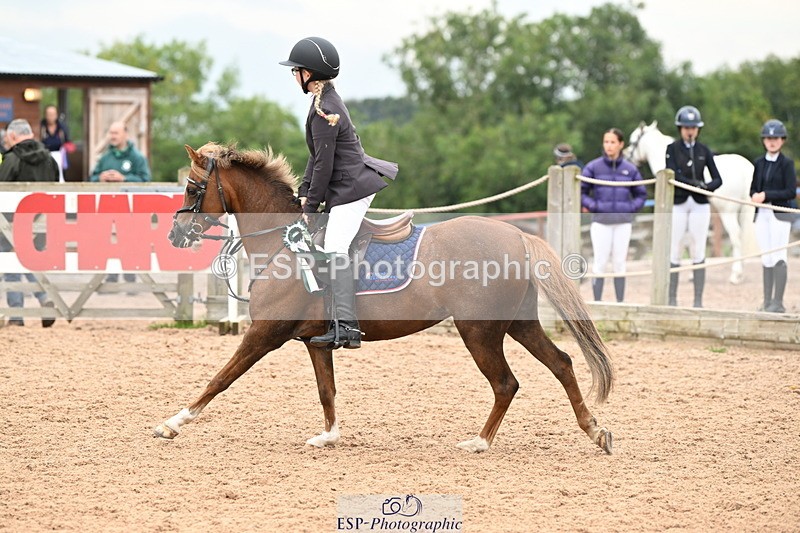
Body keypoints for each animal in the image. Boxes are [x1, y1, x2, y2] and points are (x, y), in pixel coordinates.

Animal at [154, 142, 615, 454]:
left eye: (193, 188)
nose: (176, 234)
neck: (283, 243)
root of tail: (517, 235)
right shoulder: (314, 341)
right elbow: (326, 389)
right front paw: (329, 436)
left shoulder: (264, 333)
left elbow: (220, 378)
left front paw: (172, 423)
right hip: (518, 323)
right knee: (562, 363)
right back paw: (595, 430)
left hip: (479, 331)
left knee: (506, 383)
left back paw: (479, 443)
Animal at [624, 121, 755, 284]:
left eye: (632, 141)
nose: (626, 156)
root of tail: (746, 170)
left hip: (728, 212)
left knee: (736, 237)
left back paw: (735, 275)